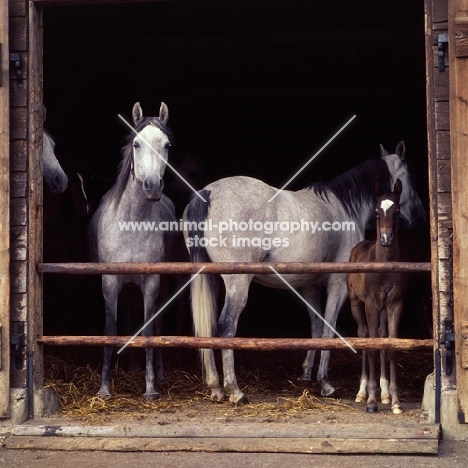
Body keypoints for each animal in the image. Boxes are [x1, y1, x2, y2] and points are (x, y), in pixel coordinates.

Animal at [87, 101, 176, 398]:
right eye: (136, 144)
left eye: (167, 145)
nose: (152, 186)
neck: (132, 223)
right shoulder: (110, 281)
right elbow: (111, 329)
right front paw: (104, 388)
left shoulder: (152, 282)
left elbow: (149, 330)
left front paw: (150, 387)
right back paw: (128, 367)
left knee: (158, 324)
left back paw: (159, 374)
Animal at [184, 141, 428, 404]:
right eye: (412, 176)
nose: (421, 218)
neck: (344, 209)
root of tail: (208, 194)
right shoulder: (338, 287)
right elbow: (328, 330)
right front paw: (325, 383)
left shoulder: (309, 286)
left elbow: (316, 328)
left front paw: (306, 374)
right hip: (237, 282)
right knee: (227, 325)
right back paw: (235, 391)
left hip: (210, 278)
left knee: (209, 327)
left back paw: (216, 387)